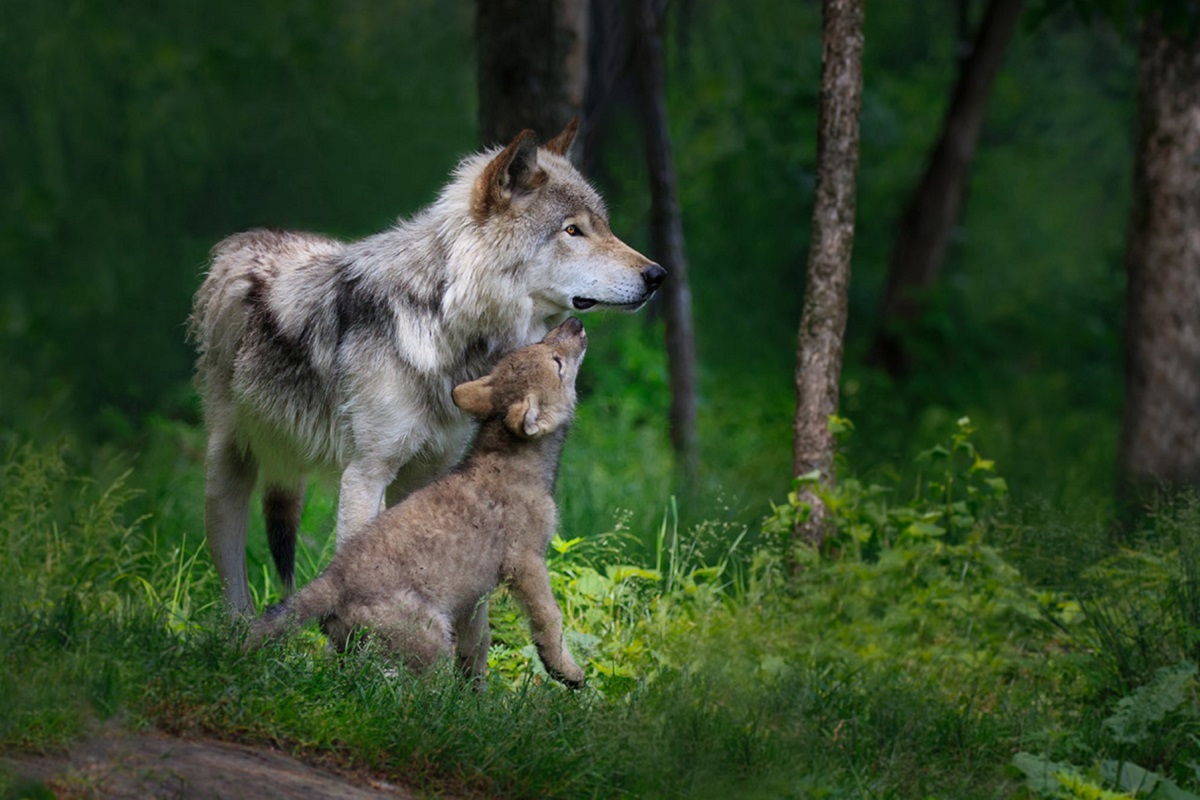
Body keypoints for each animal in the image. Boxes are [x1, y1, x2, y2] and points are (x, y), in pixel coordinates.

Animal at [188, 122, 667, 618]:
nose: (658, 275)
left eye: (604, 226)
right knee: (233, 580)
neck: (444, 323)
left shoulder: (429, 473)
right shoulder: (365, 474)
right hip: (227, 472)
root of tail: (243, 242)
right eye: (572, 230)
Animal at [247, 319, 590, 690]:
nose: (575, 323)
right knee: (414, 692)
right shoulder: (526, 562)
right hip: (431, 640)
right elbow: (549, 619)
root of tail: (333, 579)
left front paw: (475, 695)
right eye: (556, 362)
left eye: (540, 344)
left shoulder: (474, 594)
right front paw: (567, 672)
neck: (514, 461)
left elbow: (477, 643)